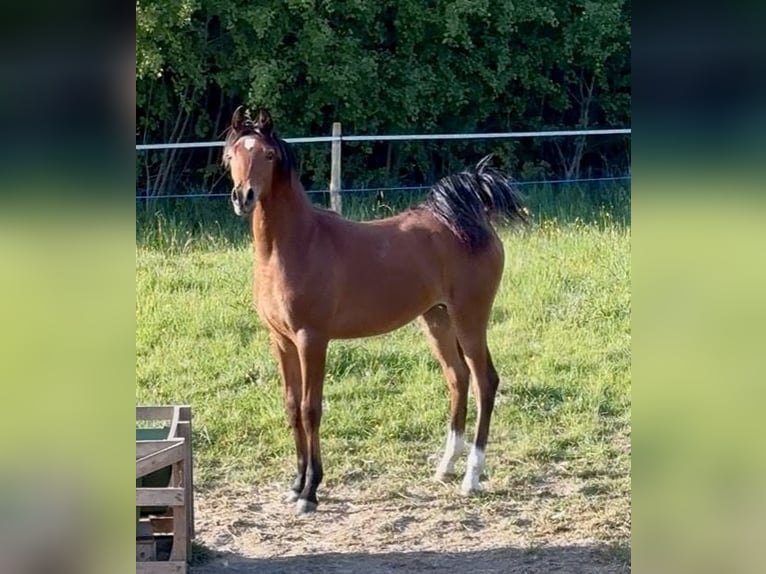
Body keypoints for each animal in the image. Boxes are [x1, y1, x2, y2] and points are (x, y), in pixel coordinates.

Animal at [222, 106, 529, 514]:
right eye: (231, 156)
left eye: (269, 156)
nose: (244, 196)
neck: (296, 245)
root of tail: (473, 221)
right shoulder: (281, 340)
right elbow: (291, 407)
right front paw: (295, 485)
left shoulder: (311, 339)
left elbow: (310, 409)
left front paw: (310, 491)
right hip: (437, 319)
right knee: (457, 378)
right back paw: (445, 467)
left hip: (470, 318)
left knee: (485, 382)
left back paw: (471, 478)